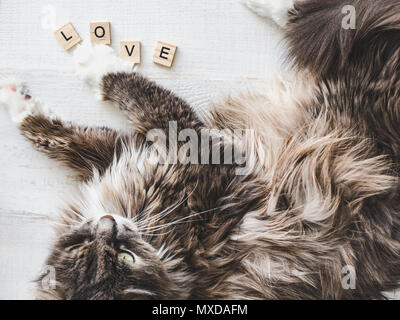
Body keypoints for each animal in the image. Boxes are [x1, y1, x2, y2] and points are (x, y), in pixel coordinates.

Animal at [0, 0, 400, 300]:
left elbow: (84, 119)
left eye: (126, 257)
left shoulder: (159, 151)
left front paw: (23, 94)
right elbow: (98, 113)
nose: (108, 225)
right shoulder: (162, 153)